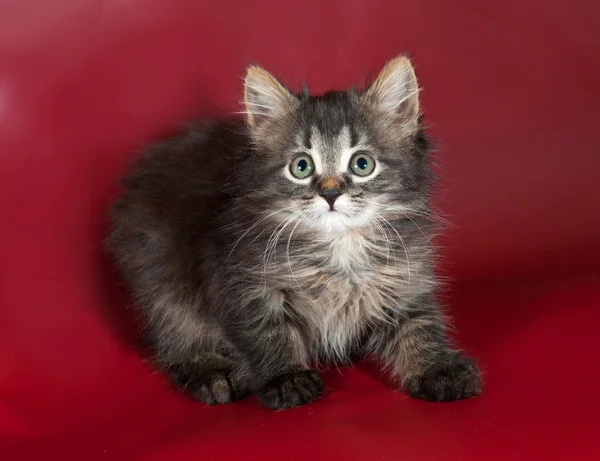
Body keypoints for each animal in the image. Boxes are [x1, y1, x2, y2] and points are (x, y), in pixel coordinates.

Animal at [108, 54, 482, 410]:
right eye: (301, 167)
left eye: (362, 164)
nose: (330, 193)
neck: (338, 251)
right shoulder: (244, 282)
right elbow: (267, 331)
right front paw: (286, 378)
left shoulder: (402, 278)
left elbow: (419, 326)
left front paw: (438, 369)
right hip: (160, 278)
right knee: (177, 336)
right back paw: (213, 373)